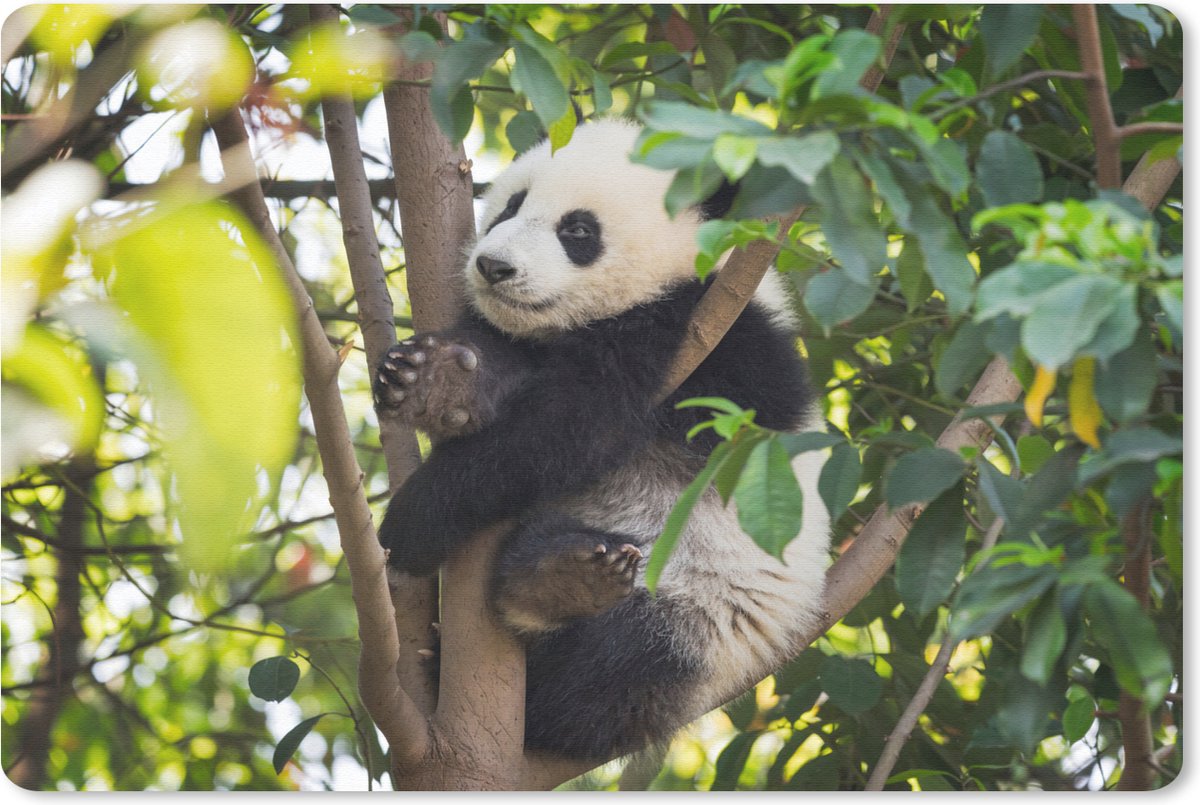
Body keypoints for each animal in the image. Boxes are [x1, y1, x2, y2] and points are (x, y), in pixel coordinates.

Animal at [374, 119, 831, 761]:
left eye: (578, 231)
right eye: (511, 207)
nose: (493, 267)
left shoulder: (704, 336)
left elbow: (567, 430)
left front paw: (411, 524)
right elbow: (516, 369)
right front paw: (438, 381)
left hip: (705, 615)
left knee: (606, 672)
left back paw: (556, 590)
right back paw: (558, 570)